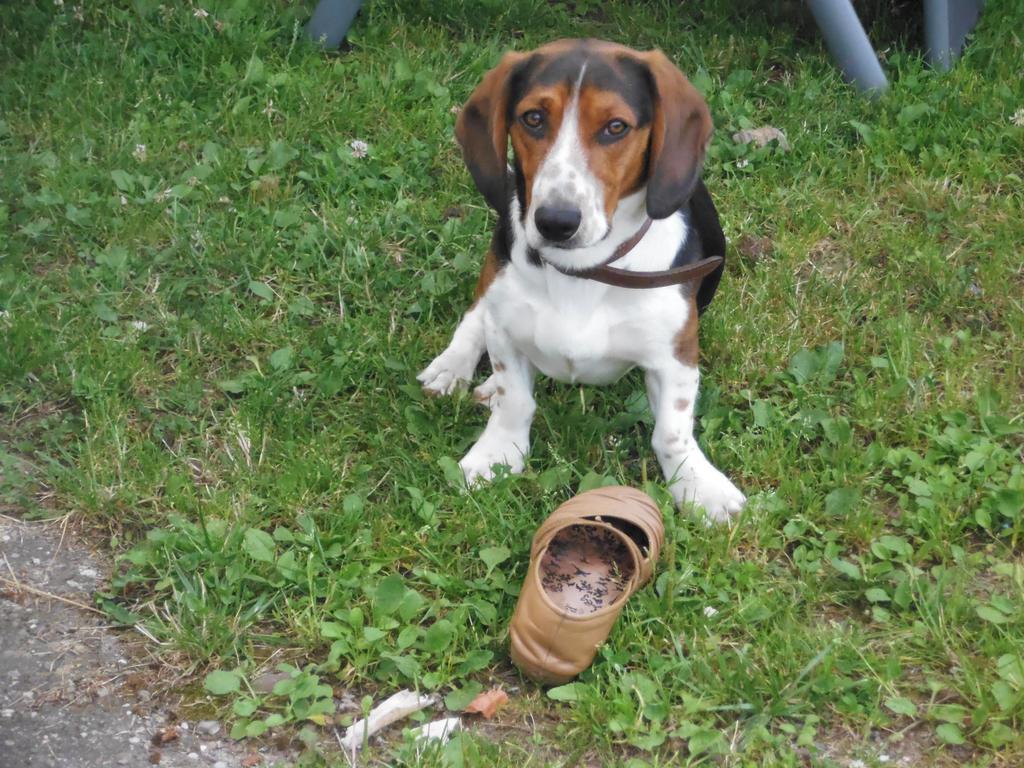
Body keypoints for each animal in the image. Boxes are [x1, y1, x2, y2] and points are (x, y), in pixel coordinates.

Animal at [415, 37, 745, 524]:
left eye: (615, 127)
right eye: (533, 118)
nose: (556, 221)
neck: (583, 269)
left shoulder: (676, 356)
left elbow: (671, 430)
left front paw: (698, 485)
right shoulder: (506, 332)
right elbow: (516, 400)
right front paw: (497, 454)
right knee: (476, 315)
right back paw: (453, 367)